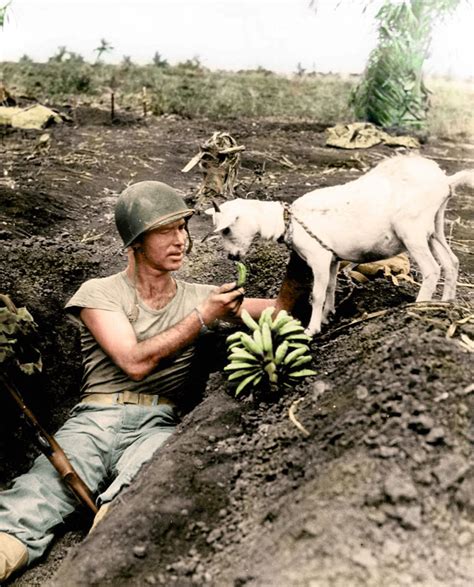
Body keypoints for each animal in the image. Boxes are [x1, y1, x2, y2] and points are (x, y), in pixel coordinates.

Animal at [206, 154, 472, 336]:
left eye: (226, 229)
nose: (232, 257)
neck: (288, 221)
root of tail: (445, 181)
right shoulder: (332, 259)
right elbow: (331, 288)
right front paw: (327, 317)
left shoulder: (319, 257)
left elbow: (316, 294)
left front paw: (311, 329)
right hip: (434, 228)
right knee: (451, 262)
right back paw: (444, 303)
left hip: (412, 231)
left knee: (432, 269)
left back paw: (418, 308)